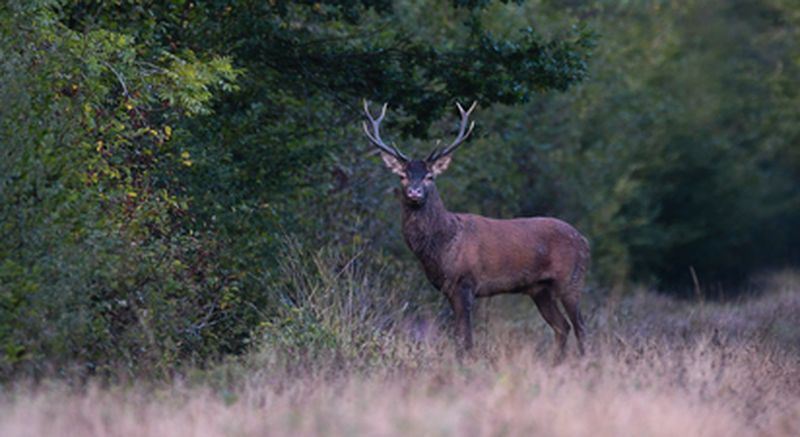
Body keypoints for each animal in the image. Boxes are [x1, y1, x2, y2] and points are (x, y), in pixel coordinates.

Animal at [362, 100, 591, 362]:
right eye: (402, 175)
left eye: (430, 176)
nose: (415, 192)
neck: (444, 244)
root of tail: (585, 241)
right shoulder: (448, 289)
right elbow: (458, 337)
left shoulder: (466, 282)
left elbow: (466, 338)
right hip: (540, 289)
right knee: (562, 326)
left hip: (571, 280)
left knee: (580, 327)